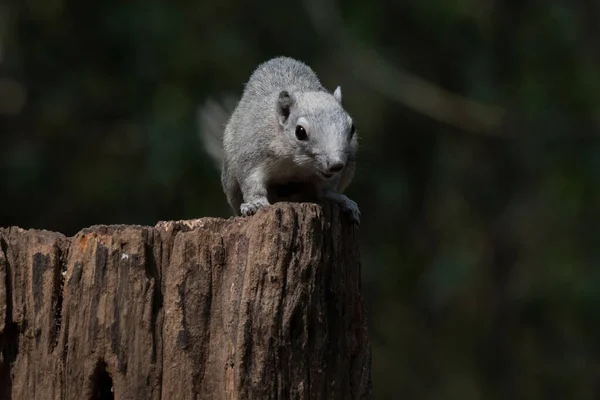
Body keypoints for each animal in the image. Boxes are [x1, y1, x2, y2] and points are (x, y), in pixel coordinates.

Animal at [198, 55, 360, 225]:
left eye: (352, 128)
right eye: (300, 131)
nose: (336, 164)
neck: (295, 162)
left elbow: (326, 191)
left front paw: (343, 201)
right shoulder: (251, 155)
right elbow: (252, 184)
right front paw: (255, 204)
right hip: (230, 179)